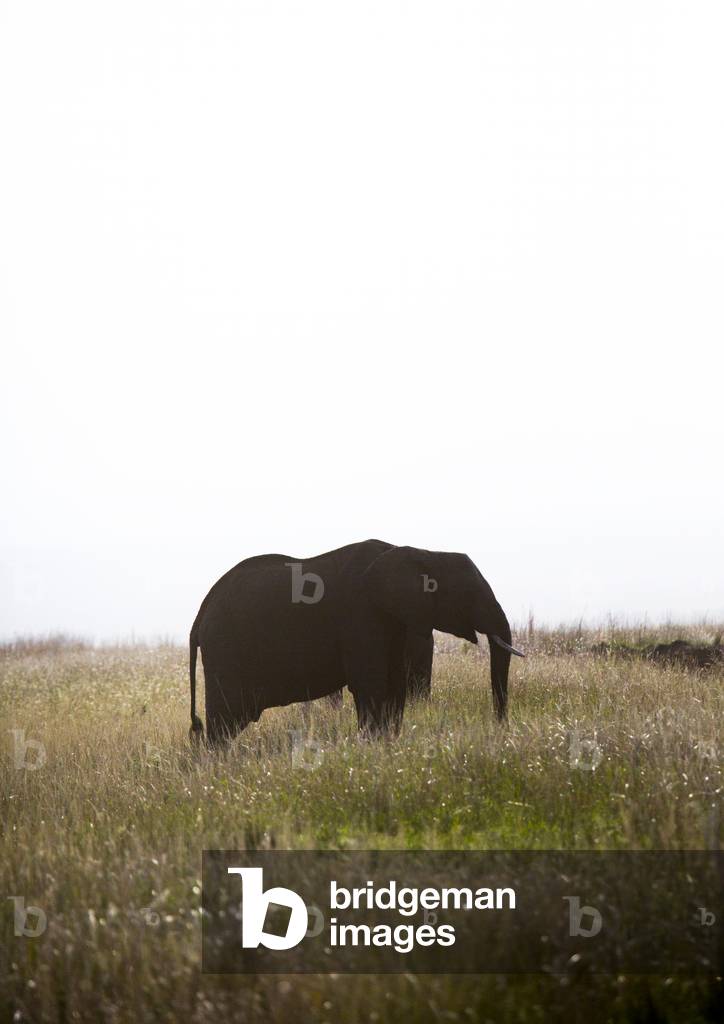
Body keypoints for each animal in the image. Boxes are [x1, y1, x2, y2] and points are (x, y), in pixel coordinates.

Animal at [189, 539, 523, 744]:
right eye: (470, 595)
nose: (501, 727)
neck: (420, 552)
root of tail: (199, 616)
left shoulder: (395, 622)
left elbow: (394, 685)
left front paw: (388, 744)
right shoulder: (361, 617)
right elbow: (371, 684)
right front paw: (374, 746)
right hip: (225, 651)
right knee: (223, 723)